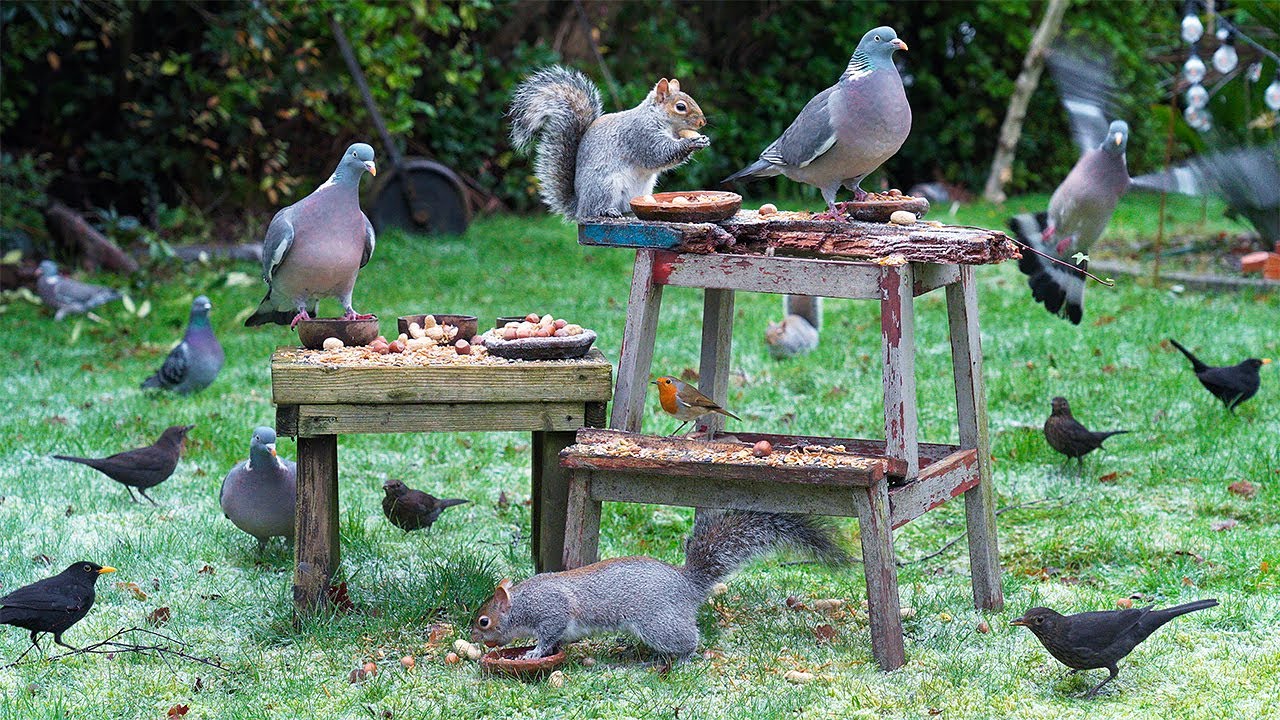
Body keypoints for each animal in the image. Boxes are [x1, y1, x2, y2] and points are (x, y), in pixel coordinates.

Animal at [470, 510, 845, 660]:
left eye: (484, 621)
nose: (473, 637)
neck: (521, 603)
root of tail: (687, 585)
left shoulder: (551, 611)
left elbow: (550, 633)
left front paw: (534, 651)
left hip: (658, 623)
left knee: (689, 640)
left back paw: (681, 658)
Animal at [509, 65, 710, 220]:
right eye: (680, 107)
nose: (703, 122)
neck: (659, 119)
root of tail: (580, 206)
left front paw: (703, 140)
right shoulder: (641, 134)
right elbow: (659, 154)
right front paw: (691, 142)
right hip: (605, 185)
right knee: (597, 208)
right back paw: (607, 211)